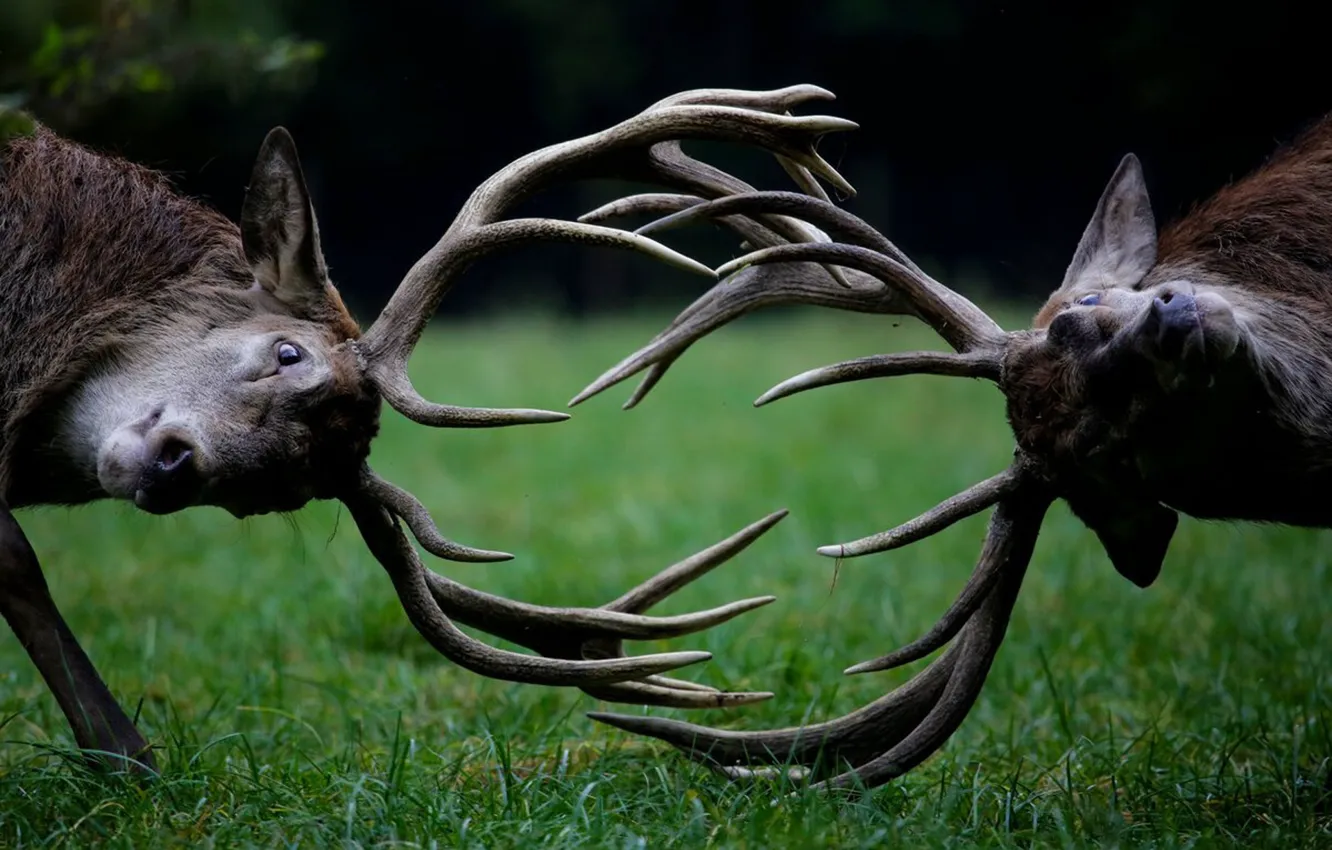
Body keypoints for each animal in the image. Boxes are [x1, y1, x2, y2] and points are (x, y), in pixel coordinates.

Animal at [0, 85, 864, 774]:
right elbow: (20, 561)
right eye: (288, 352)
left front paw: (126, 760)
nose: (172, 465)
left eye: (276, 492)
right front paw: (124, 757)